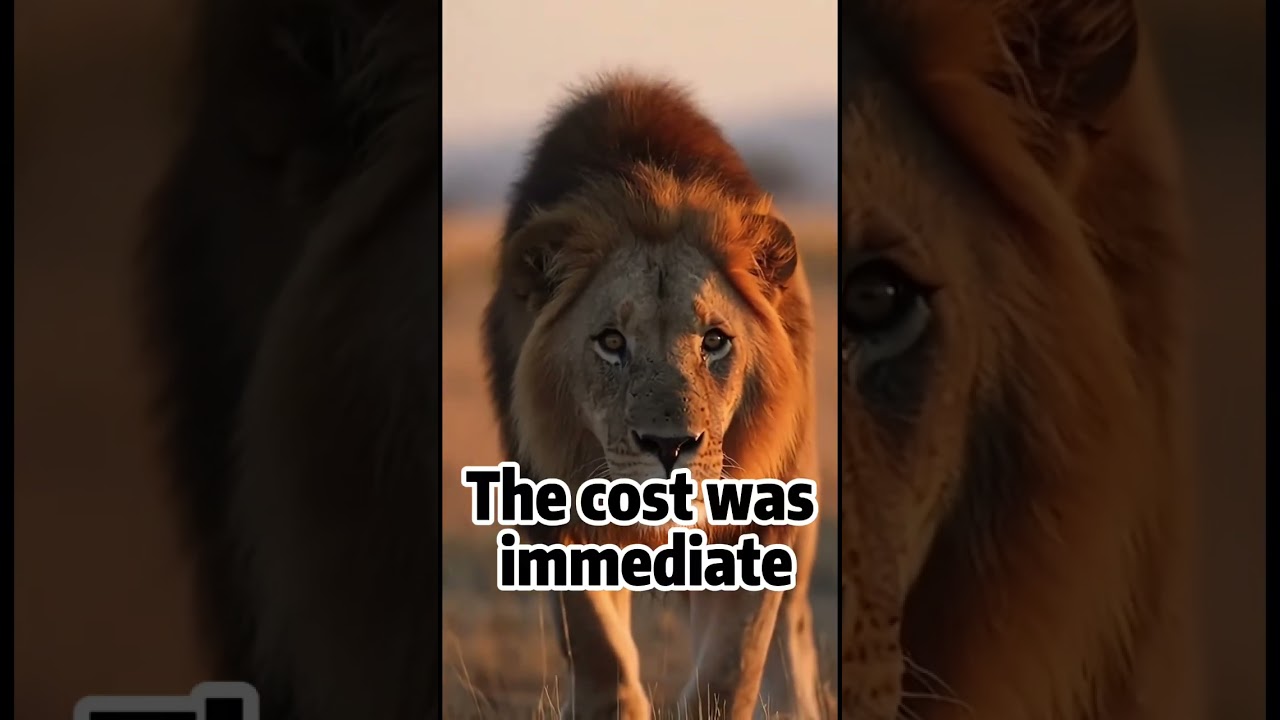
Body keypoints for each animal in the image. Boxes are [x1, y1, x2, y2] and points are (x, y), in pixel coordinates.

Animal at [482, 74, 826, 719]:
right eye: (612, 342)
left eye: (715, 341)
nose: (670, 447)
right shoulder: (550, 497)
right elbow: (598, 646)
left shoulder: (764, 510)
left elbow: (732, 666)